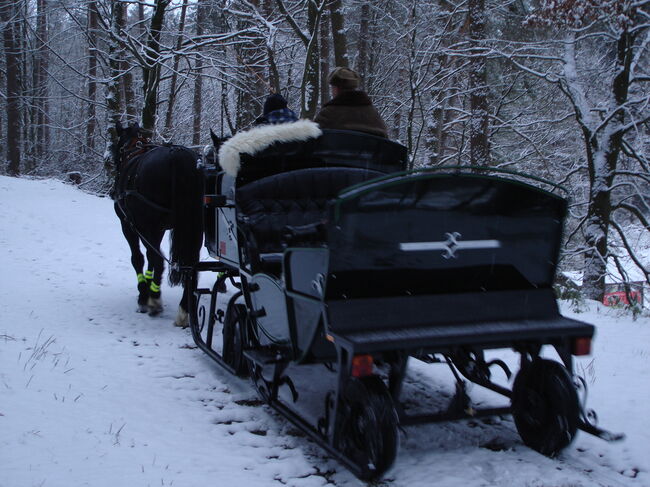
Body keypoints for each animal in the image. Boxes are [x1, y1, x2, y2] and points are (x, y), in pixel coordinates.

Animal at [111, 122, 202, 328]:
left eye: (117, 149)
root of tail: (178, 156)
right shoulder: (157, 228)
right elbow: (150, 258)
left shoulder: (129, 225)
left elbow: (138, 258)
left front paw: (143, 296)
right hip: (194, 226)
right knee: (191, 266)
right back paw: (184, 309)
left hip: (147, 225)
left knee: (159, 260)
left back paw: (154, 299)